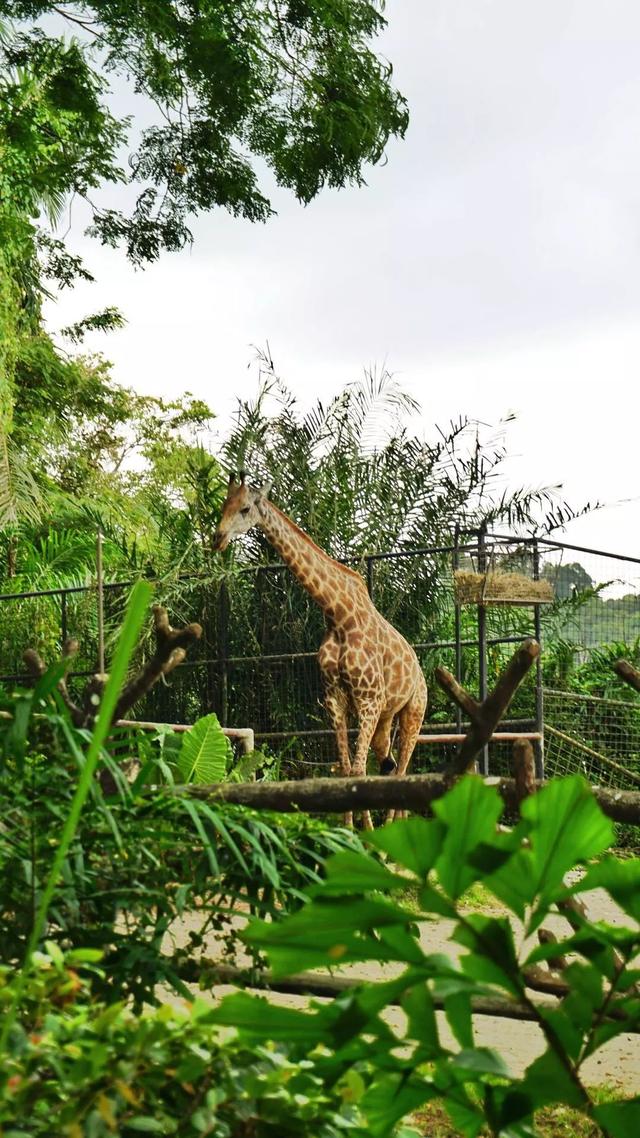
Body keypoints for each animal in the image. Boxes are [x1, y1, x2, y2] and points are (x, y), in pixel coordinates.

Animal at [211, 471, 425, 828]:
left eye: (245, 508)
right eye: (223, 504)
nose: (218, 538)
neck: (338, 615)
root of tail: (420, 671)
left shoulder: (368, 699)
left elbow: (357, 770)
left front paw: (364, 833)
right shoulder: (336, 699)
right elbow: (346, 770)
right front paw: (350, 830)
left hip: (413, 711)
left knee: (404, 767)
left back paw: (394, 827)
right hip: (386, 718)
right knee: (391, 765)